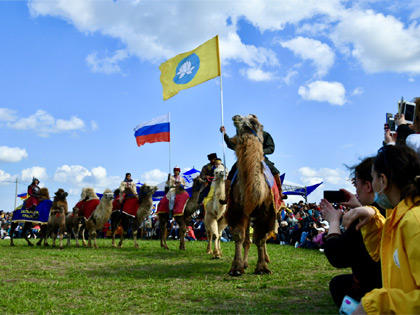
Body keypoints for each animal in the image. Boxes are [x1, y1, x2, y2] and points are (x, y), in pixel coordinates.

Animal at [225, 115, 280, 276]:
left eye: (254, 122)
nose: (236, 117)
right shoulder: (237, 210)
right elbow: (239, 237)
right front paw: (236, 268)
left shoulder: (266, 212)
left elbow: (260, 238)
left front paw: (262, 268)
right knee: (247, 241)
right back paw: (244, 263)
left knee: (263, 237)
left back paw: (266, 258)